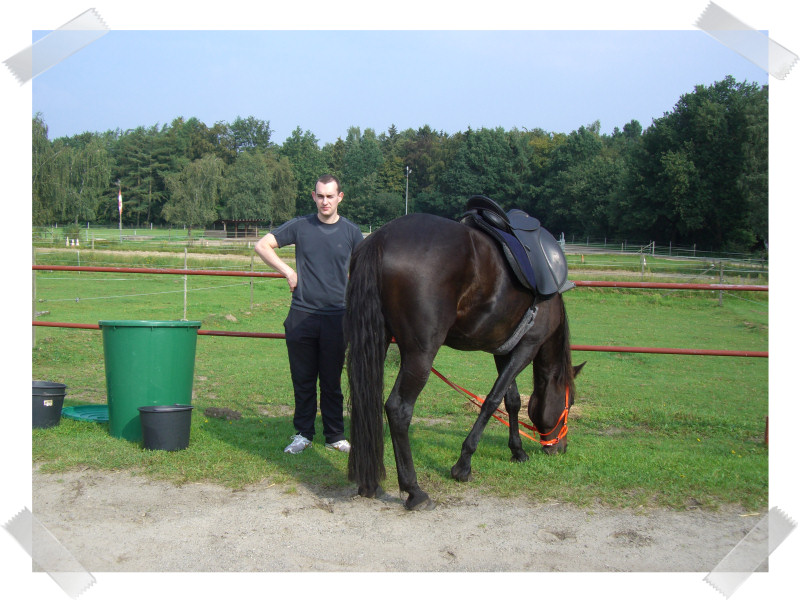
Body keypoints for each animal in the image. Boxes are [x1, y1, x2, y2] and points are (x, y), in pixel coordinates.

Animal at [345, 212, 584, 511]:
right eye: (569, 404)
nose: (560, 448)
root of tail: (380, 238)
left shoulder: (503, 350)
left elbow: (512, 400)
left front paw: (517, 451)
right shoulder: (526, 347)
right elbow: (492, 401)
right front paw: (463, 465)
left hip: (377, 340)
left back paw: (369, 484)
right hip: (420, 354)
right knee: (398, 409)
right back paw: (415, 491)